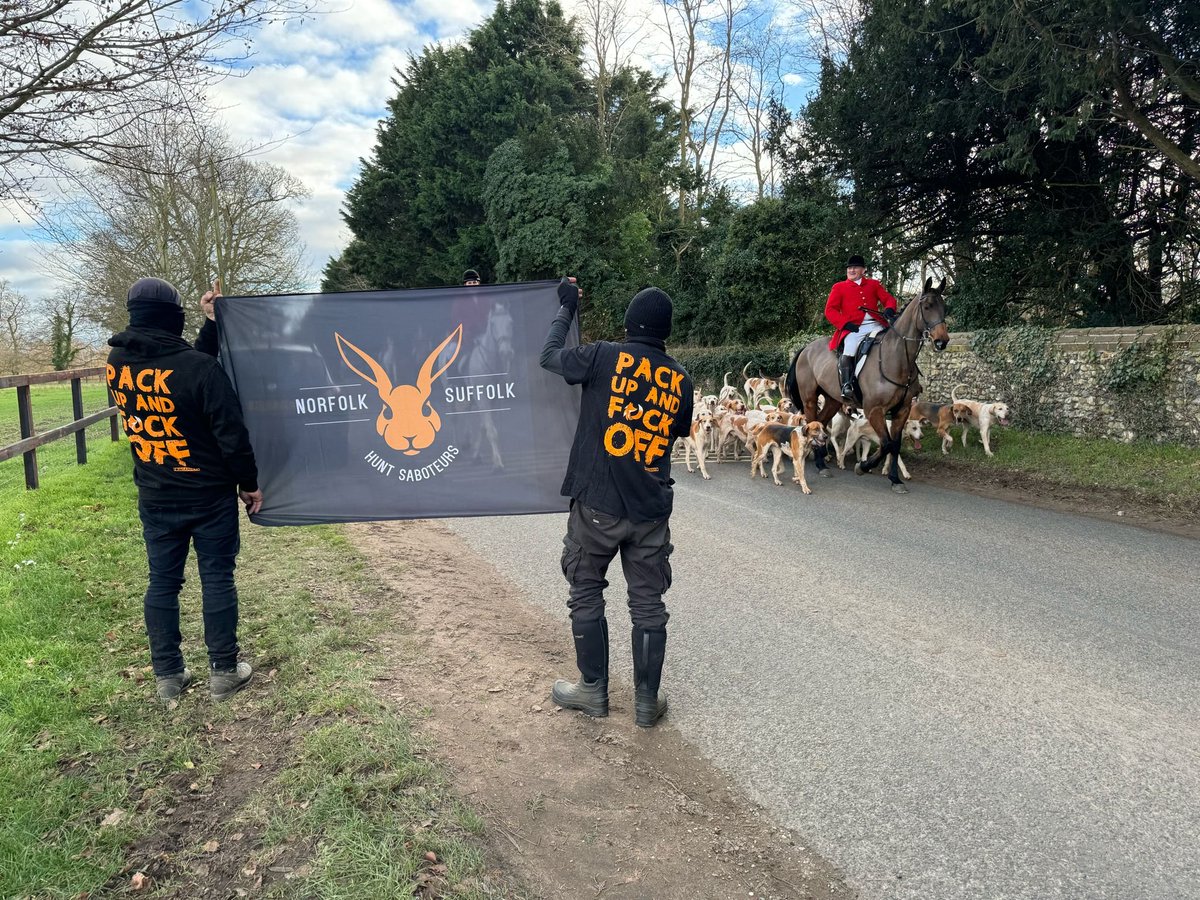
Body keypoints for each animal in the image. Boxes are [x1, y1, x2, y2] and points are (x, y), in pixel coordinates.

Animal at [782, 280, 950, 496]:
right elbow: (886, 443)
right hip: (810, 398)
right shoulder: (874, 410)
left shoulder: (902, 410)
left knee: (821, 423)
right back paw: (821, 465)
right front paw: (863, 466)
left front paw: (895, 479)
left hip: (833, 400)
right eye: (928, 306)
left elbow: (894, 445)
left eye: (944, 307)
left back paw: (823, 461)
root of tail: (806, 348)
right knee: (812, 423)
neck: (896, 358)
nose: (942, 341)